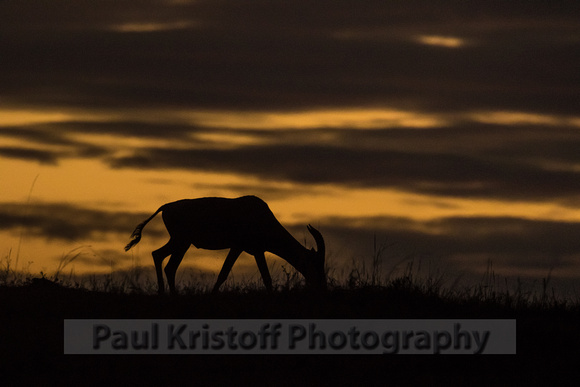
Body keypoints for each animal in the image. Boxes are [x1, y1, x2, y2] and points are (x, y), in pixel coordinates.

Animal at [125, 196, 326, 296]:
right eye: (316, 263)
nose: (322, 287)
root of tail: (165, 207)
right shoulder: (244, 248)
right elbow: (227, 274)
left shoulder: (250, 250)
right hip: (181, 242)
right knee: (167, 264)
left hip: (179, 242)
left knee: (158, 256)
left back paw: (163, 292)